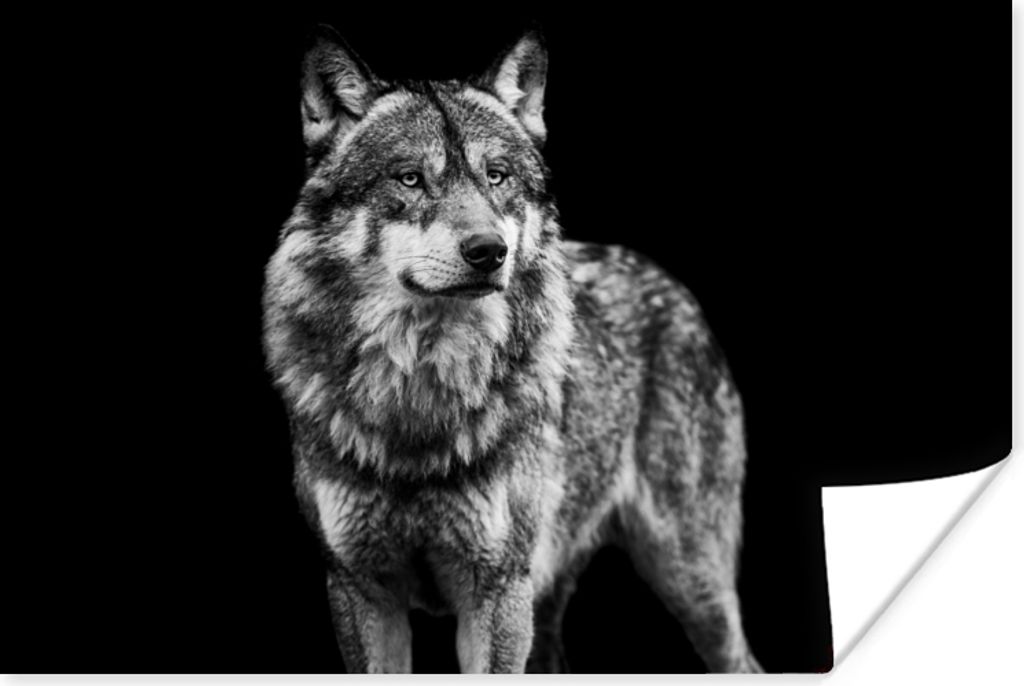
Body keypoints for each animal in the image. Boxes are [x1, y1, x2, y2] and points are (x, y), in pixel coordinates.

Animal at [262, 25, 762, 673]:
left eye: (495, 176)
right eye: (410, 178)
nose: (488, 251)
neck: (421, 393)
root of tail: (672, 285)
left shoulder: (496, 590)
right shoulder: (359, 591)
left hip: (687, 578)